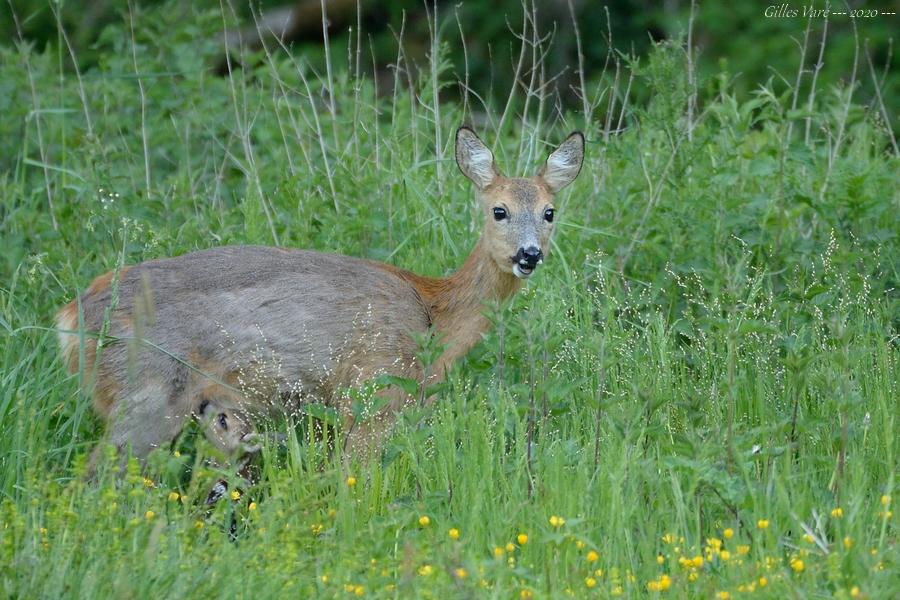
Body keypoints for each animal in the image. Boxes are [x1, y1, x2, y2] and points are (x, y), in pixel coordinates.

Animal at [58, 127, 592, 468]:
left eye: (549, 212)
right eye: (499, 210)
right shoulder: (374, 391)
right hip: (146, 390)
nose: (529, 255)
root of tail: (71, 318)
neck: (432, 317)